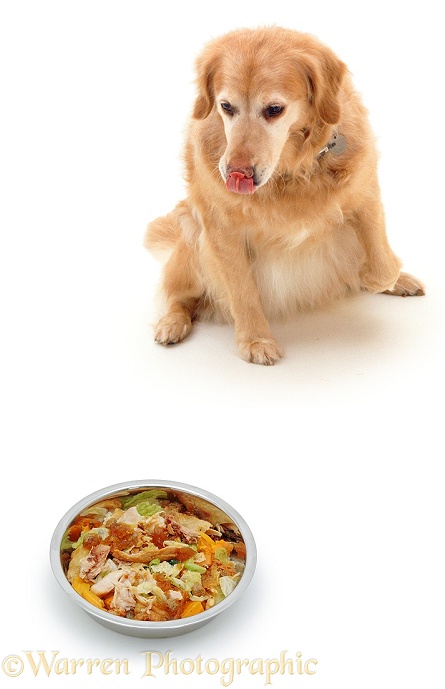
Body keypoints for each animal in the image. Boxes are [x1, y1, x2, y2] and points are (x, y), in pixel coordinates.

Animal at [146, 26, 424, 362]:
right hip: (189, 236)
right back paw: (172, 323)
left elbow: (382, 263)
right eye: (226, 106)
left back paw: (399, 281)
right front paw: (255, 340)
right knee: (181, 296)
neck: (292, 171)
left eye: (274, 109)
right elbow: (243, 291)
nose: (237, 174)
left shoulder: (365, 190)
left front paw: (379, 278)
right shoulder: (221, 228)